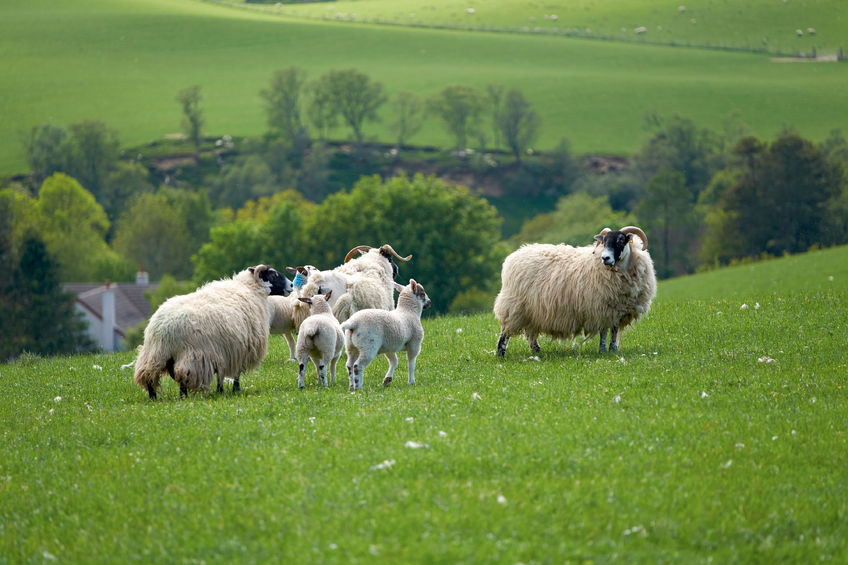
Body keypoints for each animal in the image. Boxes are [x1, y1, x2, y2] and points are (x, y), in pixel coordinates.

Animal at [132, 264, 292, 398]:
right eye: (273, 274)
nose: (291, 285)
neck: (250, 288)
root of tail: (162, 329)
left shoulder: (225, 351)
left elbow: (222, 374)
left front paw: (221, 391)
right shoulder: (239, 349)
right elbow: (236, 373)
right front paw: (235, 390)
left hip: (154, 355)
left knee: (148, 376)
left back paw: (154, 397)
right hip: (191, 356)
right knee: (182, 376)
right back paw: (183, 397)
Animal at [494, 225, 660, 356]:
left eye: (620, 240)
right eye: (604, 241)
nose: (605, 258)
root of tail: (513, 257)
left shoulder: (617, 311)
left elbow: (613, 332)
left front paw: (613, 350)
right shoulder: (602, 308)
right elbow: (604, 332)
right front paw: (603, 350)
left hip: (532, 311)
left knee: (530, 333)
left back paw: (537, 352)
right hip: (515, 306)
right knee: (505, 332)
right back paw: (501, 354)